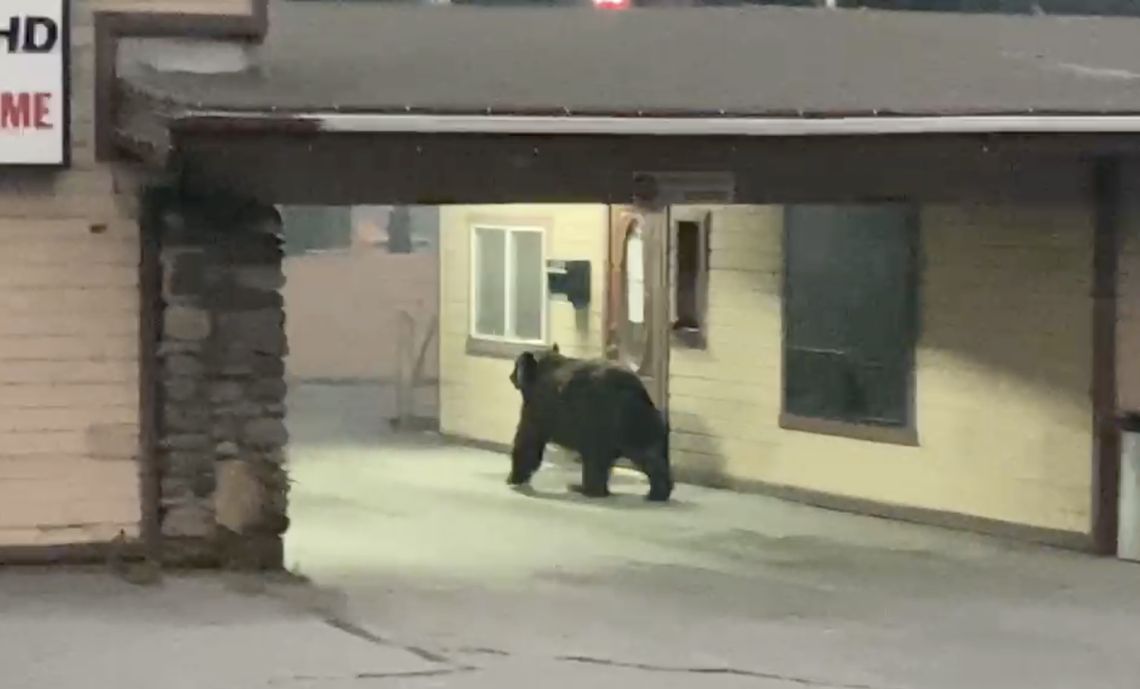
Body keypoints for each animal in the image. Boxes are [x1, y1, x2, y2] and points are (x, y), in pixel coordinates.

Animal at [506, 343, 674, 502]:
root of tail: (638, 389)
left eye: (515, 365)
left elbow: (528, 439)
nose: (511, 377)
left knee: (602, 457)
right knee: (647, 451)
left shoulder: (540, 406)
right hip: (634, 421)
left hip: (605, 417)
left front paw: (513, 477)